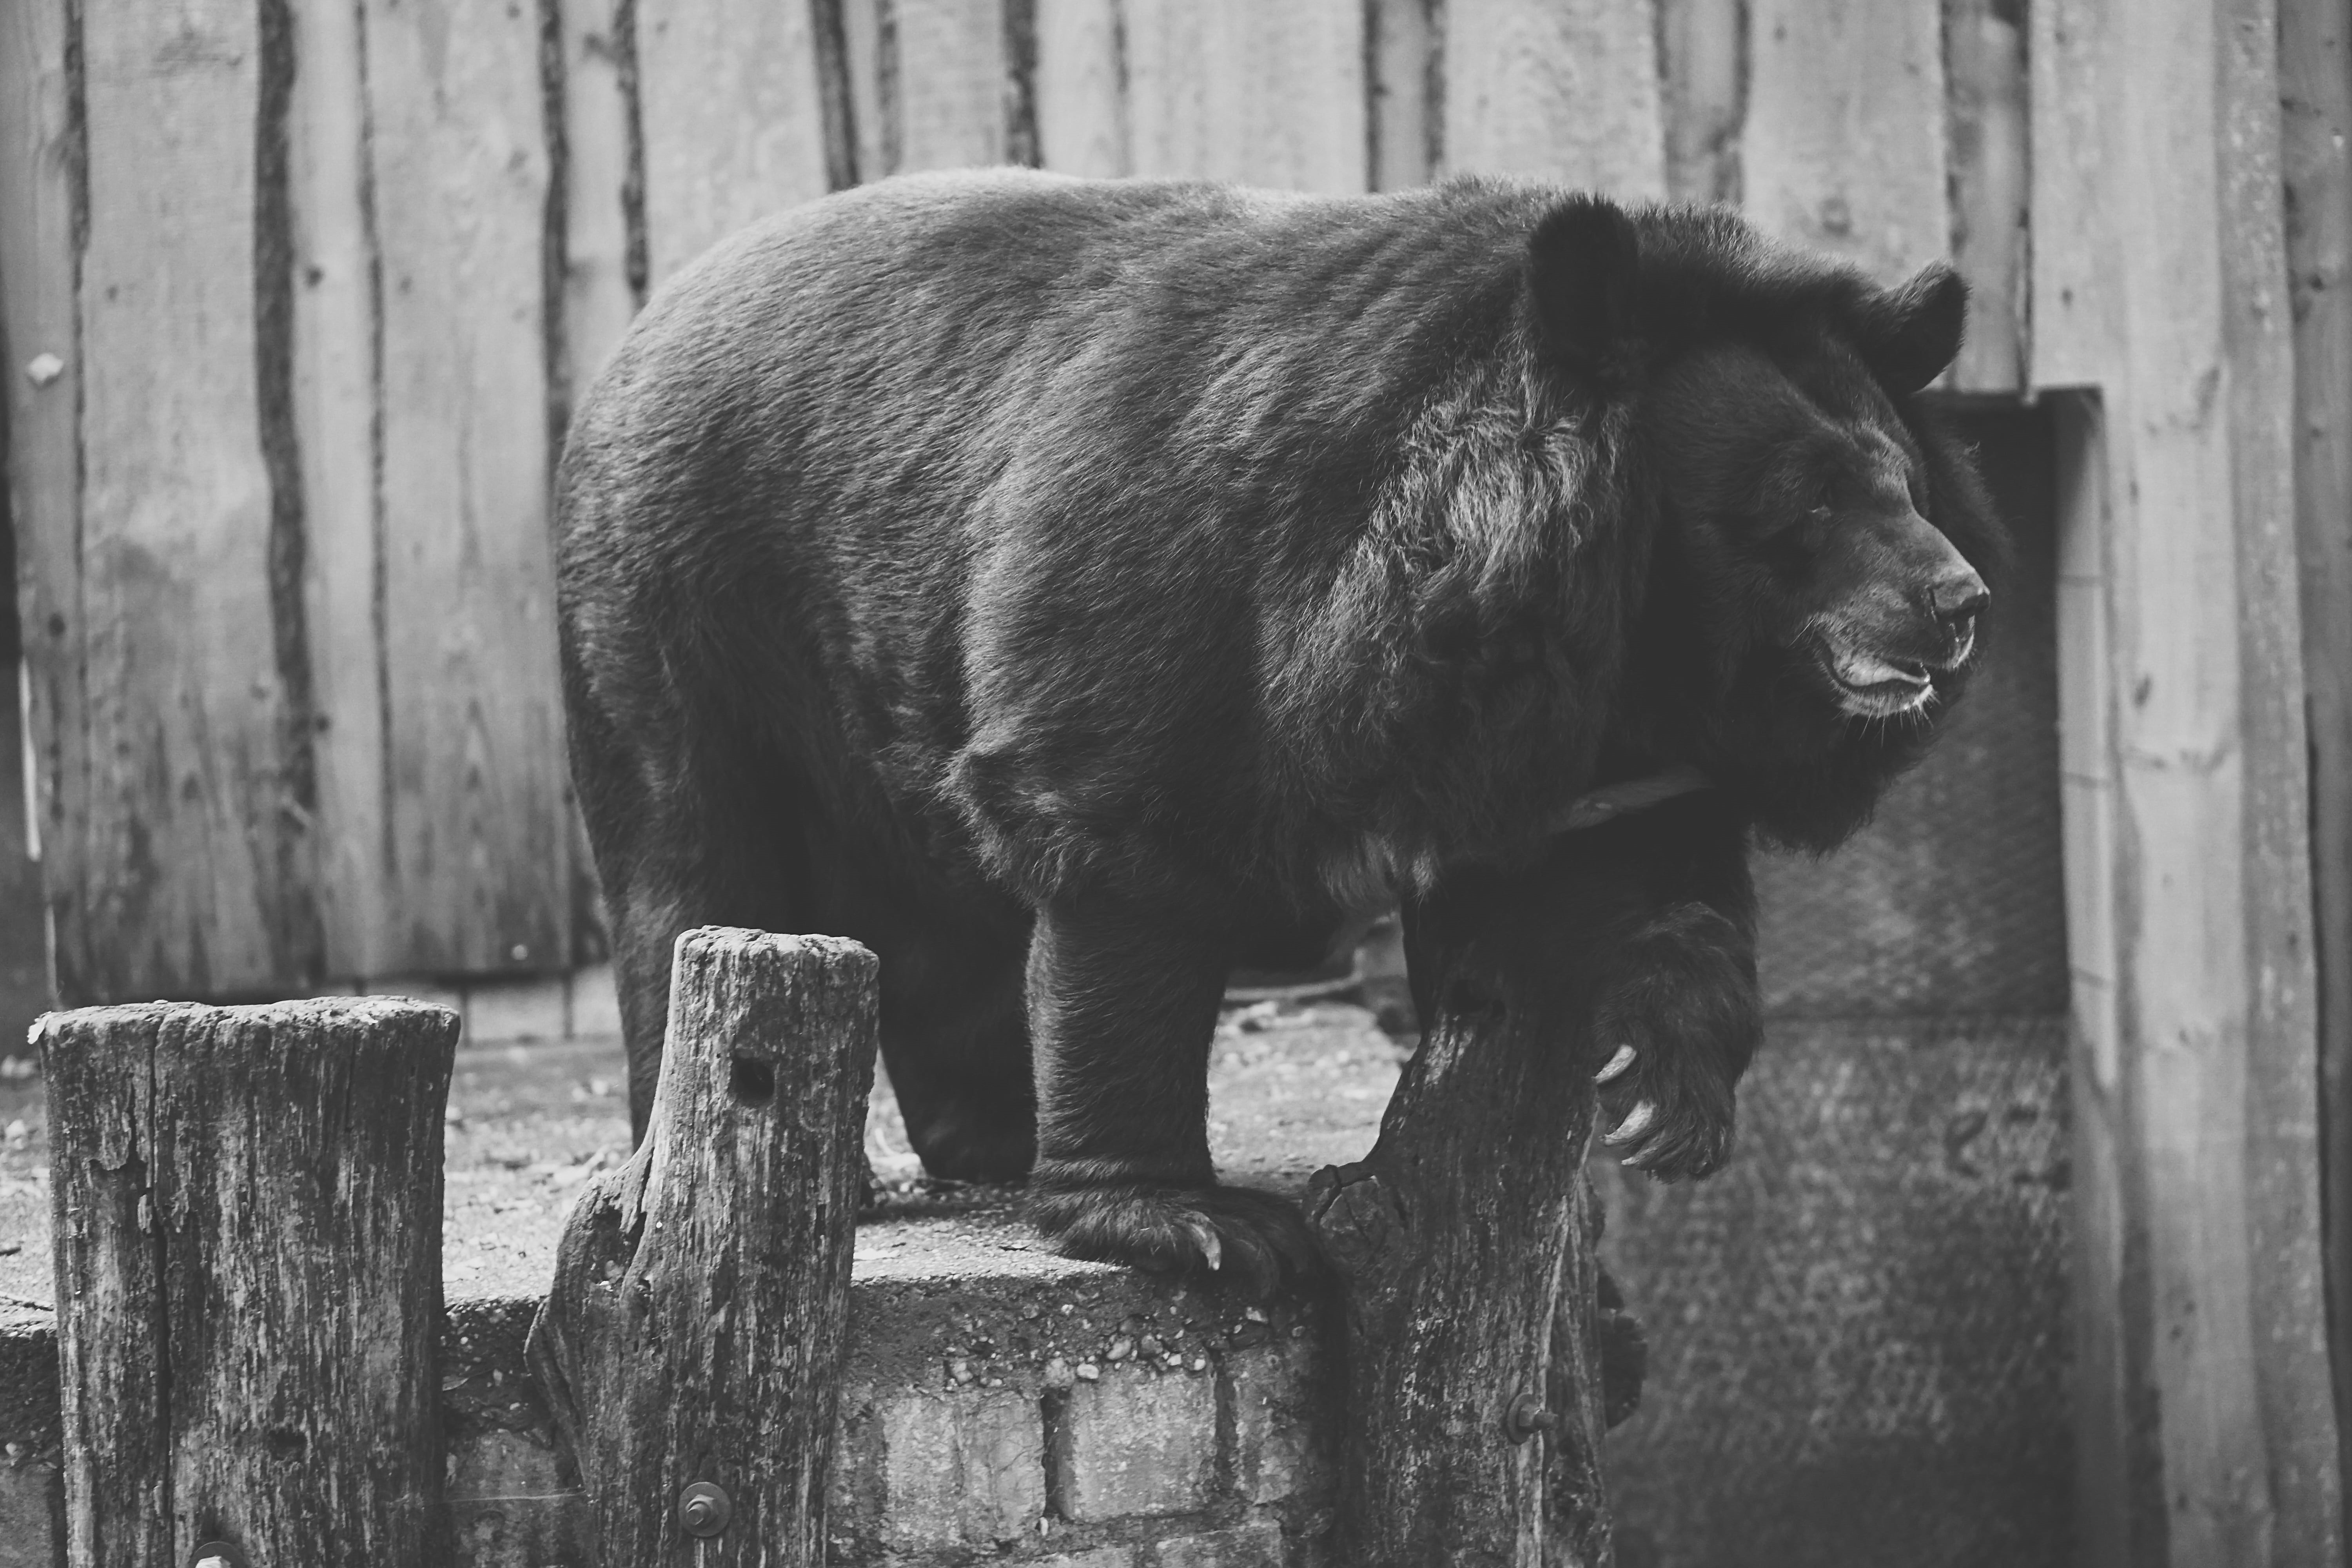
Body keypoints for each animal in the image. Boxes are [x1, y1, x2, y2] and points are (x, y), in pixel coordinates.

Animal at [555, 169, 2006, 1296]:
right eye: (1804, 507)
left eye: (1909, 486)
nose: (1962, 604)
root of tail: (640, 329)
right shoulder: (1200, 606)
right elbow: (1120, 863)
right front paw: (1191, 1224)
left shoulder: (1577, 745)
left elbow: (1642, 885)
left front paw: (1664, 1094)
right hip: (675, 610)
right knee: (691, 858)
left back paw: (988, 1137)